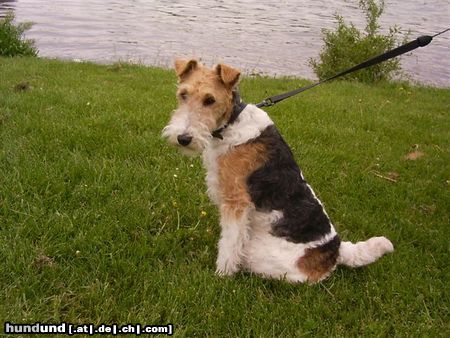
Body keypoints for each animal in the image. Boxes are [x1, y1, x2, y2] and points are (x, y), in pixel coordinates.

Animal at [163, 58, 394, 282]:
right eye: (183, 94)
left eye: (210, 100)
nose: (183, 138)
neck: (231, 124)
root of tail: (336, 251)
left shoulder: (235, 202)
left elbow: (229, 245)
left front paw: (221, 276)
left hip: (257, 254)